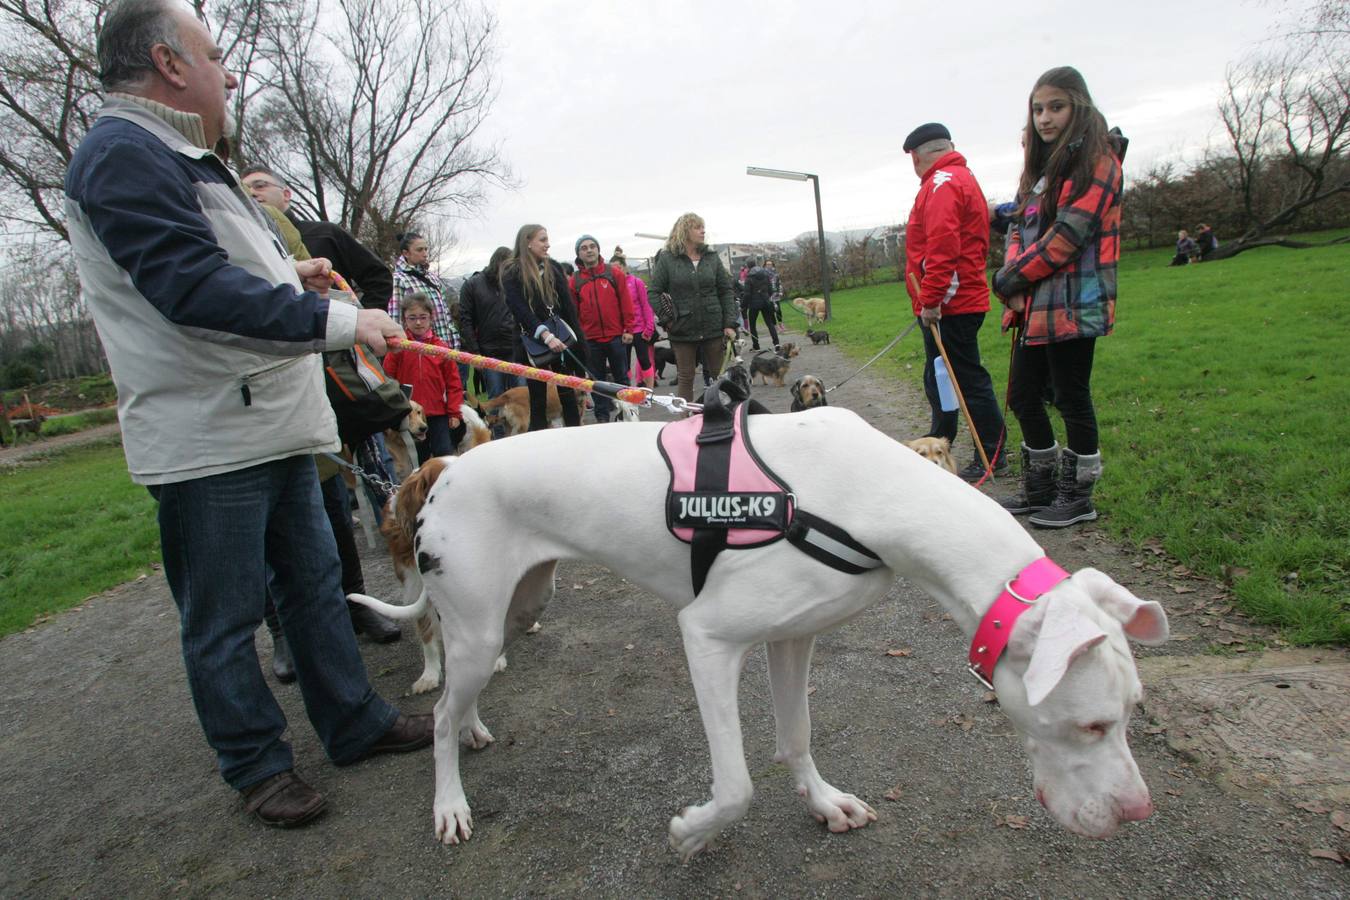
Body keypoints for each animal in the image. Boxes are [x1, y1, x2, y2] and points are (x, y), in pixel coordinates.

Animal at [351, 410, 1171, 858]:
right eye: (1093, 725)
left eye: (1131, 716)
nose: (1140, 813)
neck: (875, 494)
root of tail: (447, 464)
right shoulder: (708, 639)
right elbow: (738, 784)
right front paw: (693, 834)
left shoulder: (793, 637)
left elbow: (796, 734)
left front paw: (823, 801)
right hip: (477, 628)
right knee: (439, 716)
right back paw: (450, 803)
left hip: (508, 615)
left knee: (462, 698)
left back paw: (476, 728)